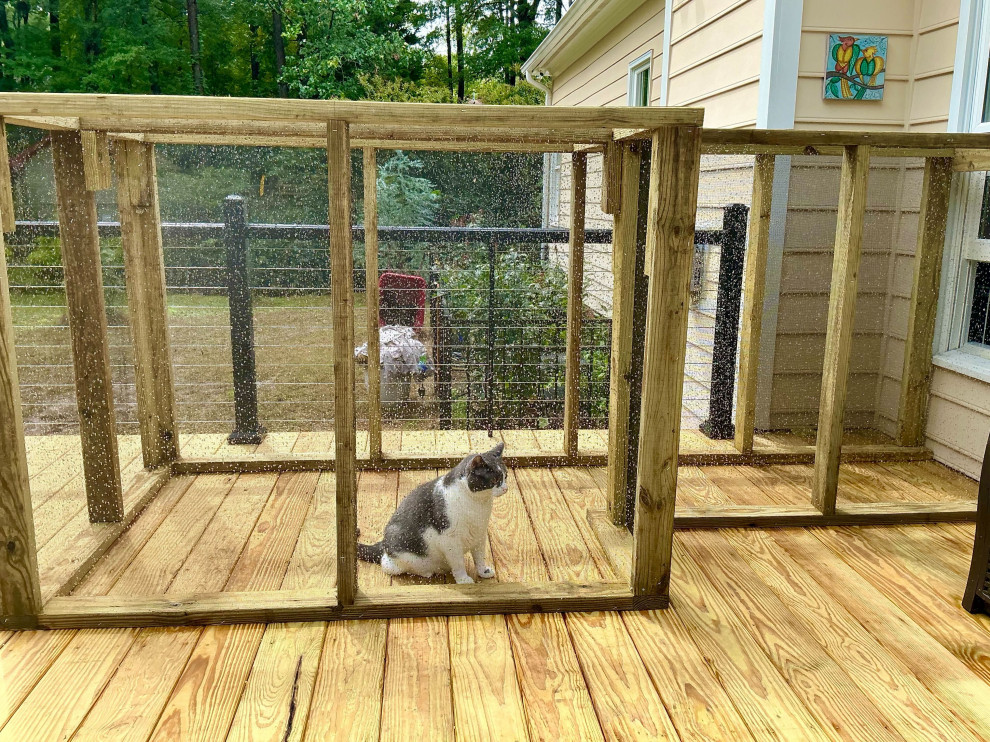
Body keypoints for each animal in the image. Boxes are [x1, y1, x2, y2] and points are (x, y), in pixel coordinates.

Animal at [358, 444, 512, 584]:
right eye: (494, 480)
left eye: (505, 476)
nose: (506, 488)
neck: (478, 504)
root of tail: (383, 543)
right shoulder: (450, 539)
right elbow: (458, 563)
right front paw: (463, 579)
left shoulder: (479, 534)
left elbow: (480, 557)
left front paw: (483, 572)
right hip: (399, 553)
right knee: (387, 564)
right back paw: (427, 572)